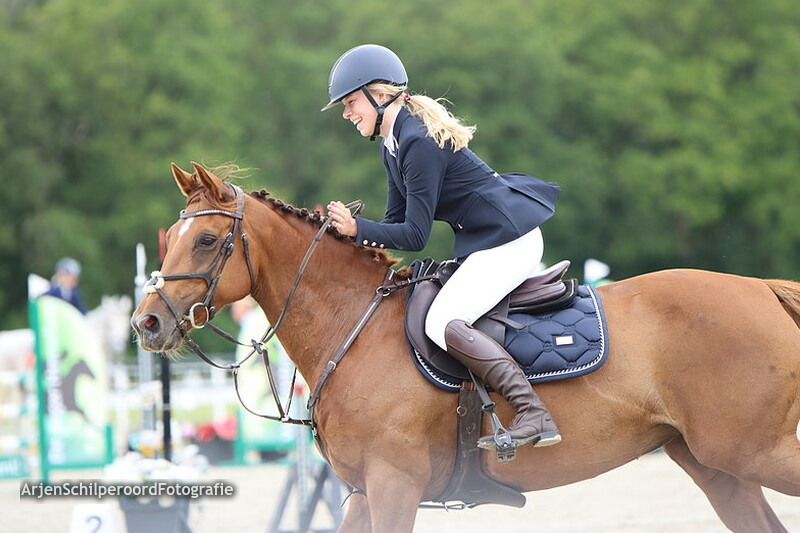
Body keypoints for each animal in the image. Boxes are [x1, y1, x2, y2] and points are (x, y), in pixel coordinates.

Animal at [131, 162, 800, 533]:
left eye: (208, 240)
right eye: (172, 238)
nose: (146, 324)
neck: (353, 326)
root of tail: (760, 289)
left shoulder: (394, 486)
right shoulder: (365, 493)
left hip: (749, 450)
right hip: (714, 465)